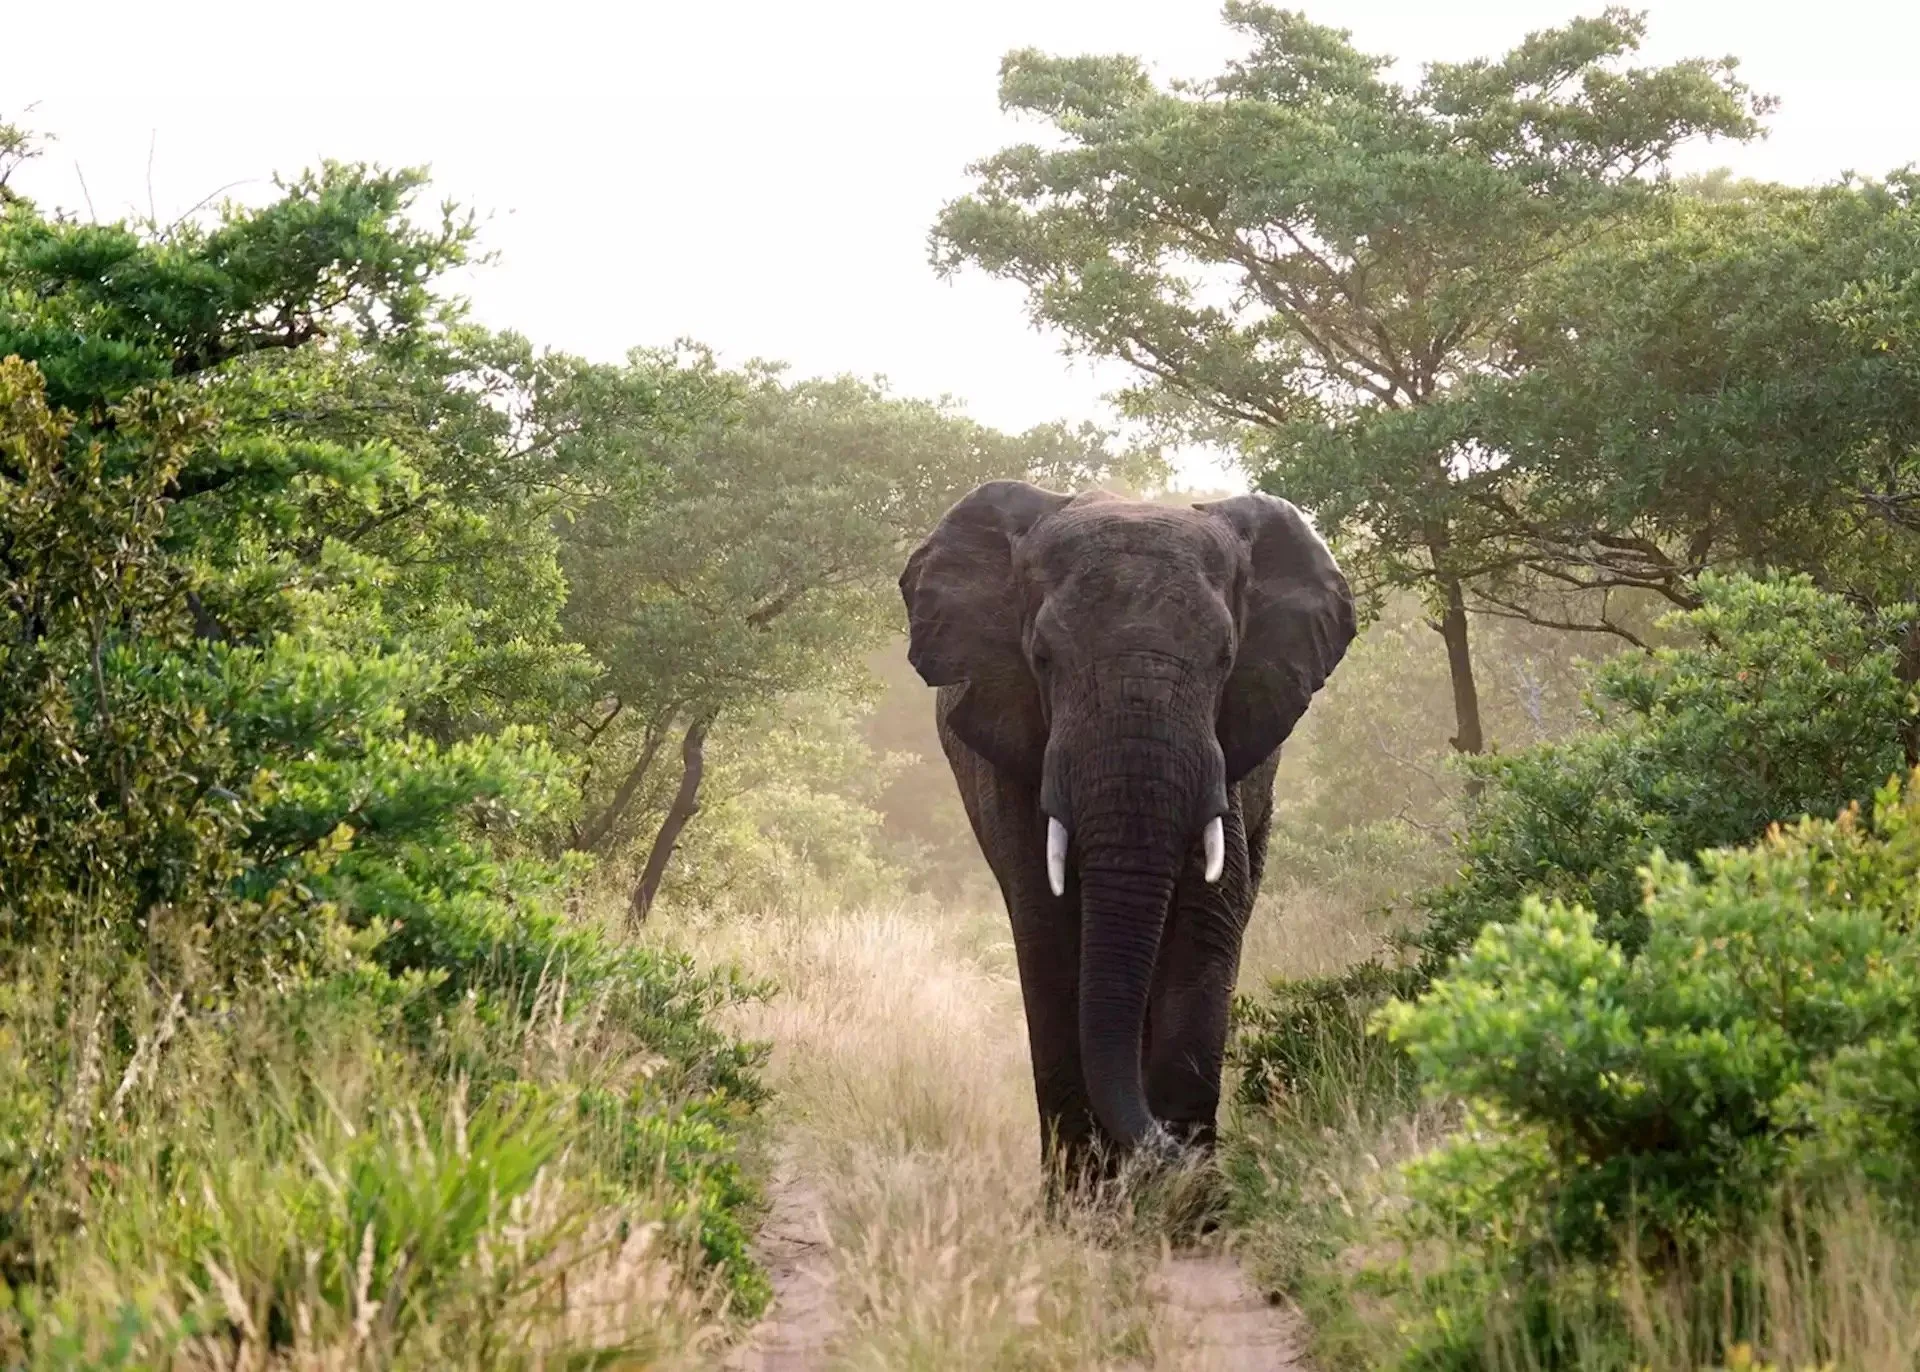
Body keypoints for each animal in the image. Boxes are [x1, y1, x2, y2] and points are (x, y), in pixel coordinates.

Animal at [898, 482, 1356, 1181]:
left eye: (1226, 658)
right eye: (1041, 659)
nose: (1186, 1155)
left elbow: (1207, 920)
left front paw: (1184, 1196)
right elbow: (1047, 931)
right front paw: (1086, 1197)